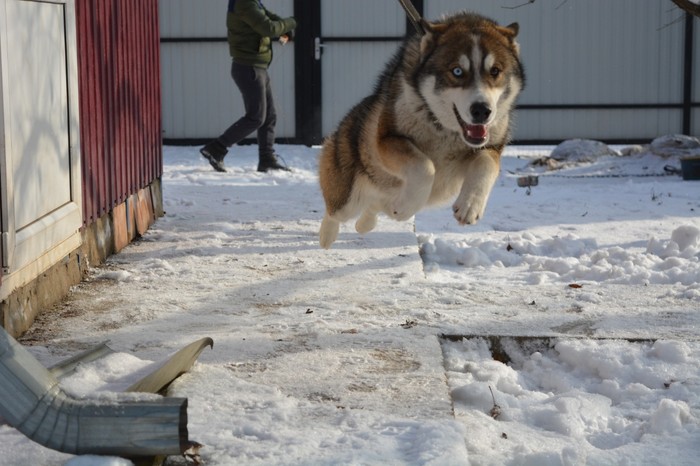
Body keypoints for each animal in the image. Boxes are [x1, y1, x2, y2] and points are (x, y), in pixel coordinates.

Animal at [320, 12, 524, 249]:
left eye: (495, 71)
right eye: (457, 71)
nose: (482, 110)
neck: (444, 131)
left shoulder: (490, 147)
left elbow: (486, 164)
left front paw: (469, 206)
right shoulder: (388, 138)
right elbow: (425, 167)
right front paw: (407, 205)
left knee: (375, 208)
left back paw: (366, 223)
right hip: (348, 194)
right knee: (335, 211)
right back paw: (327, 235)